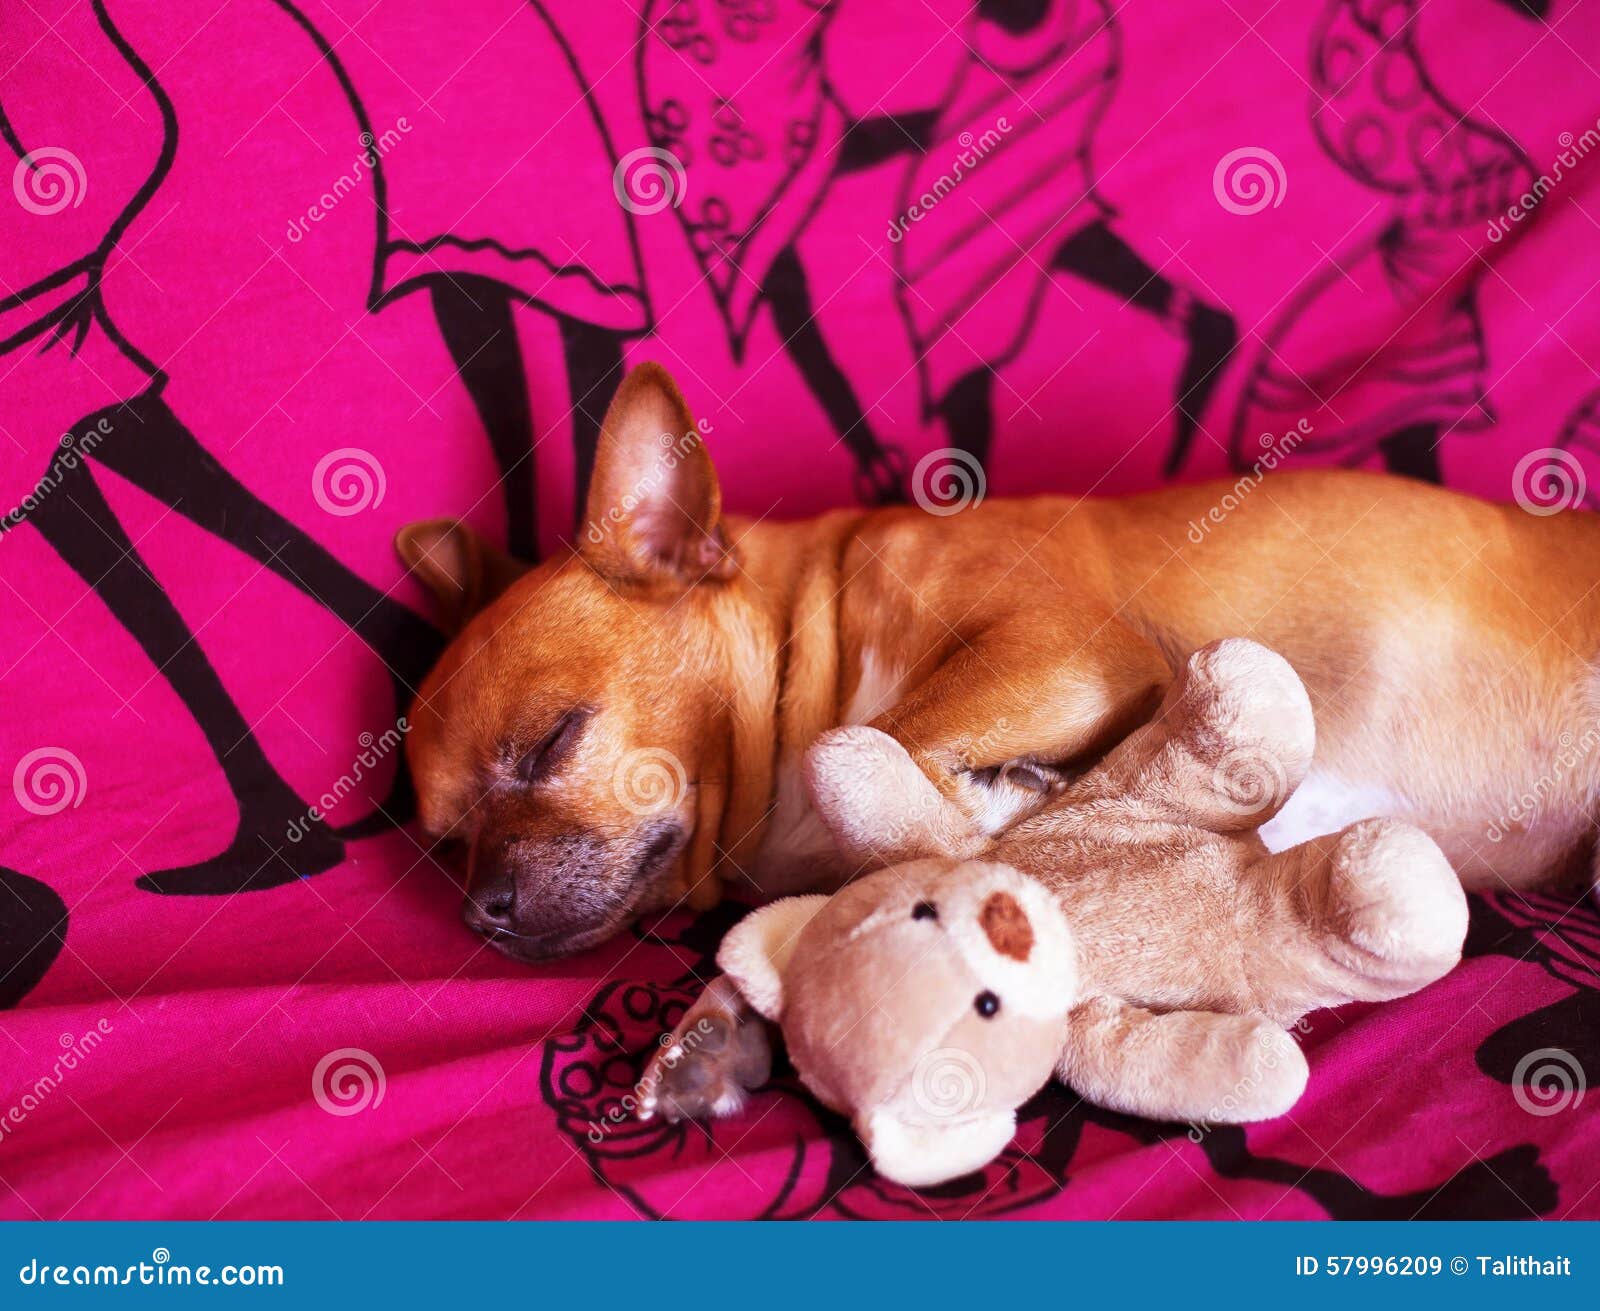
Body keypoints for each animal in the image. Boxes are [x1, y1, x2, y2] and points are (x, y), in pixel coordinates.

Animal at [396, 363, 1600, 1114]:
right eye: (444, 839)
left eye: (552, 743)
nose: (480, 908)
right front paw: (723, 1024)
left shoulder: (1062, 651)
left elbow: (881, 744)